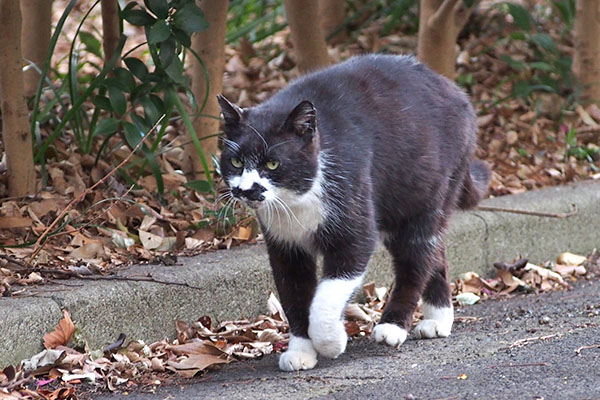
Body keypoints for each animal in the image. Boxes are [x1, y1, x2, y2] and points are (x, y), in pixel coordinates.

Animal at [218, 54, 490, 372]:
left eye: (272, 164)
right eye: (236, 161)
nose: (245, 189)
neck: (298, 201)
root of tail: (456, 92)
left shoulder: (353, 231)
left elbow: (327, 295)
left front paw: (330, 342)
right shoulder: (284, 247)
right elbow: (294, 296)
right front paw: (301, 351)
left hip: (425, 196)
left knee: (417, 259)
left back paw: (394, 326)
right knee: (437, 254)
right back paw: (438, 320)